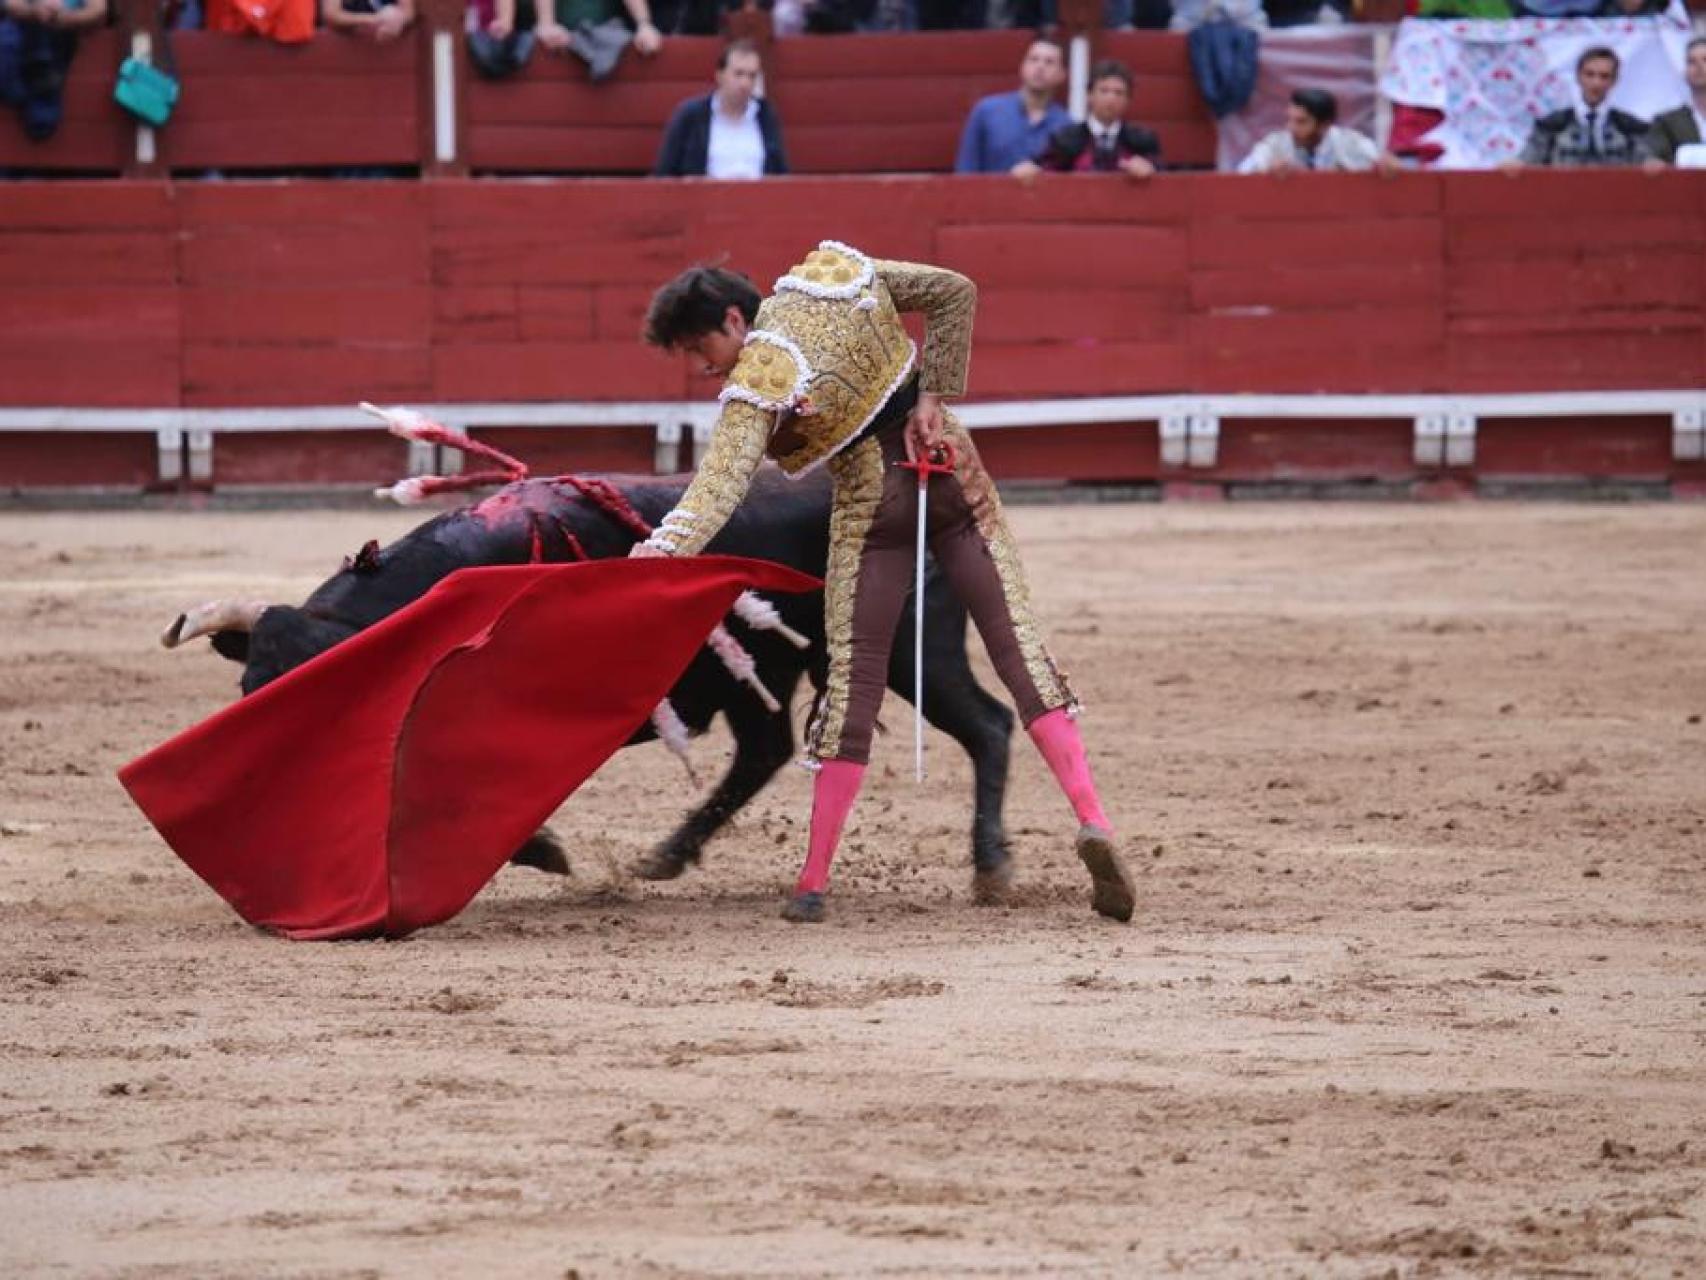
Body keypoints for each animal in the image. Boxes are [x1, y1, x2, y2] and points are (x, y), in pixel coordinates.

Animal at [185, 471, 1009, 880]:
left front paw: (539, 850)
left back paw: (992, 862)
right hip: (764, 671)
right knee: (763, 750)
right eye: (248, 690)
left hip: (911, 648)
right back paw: (667, 856)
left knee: (989, 725)